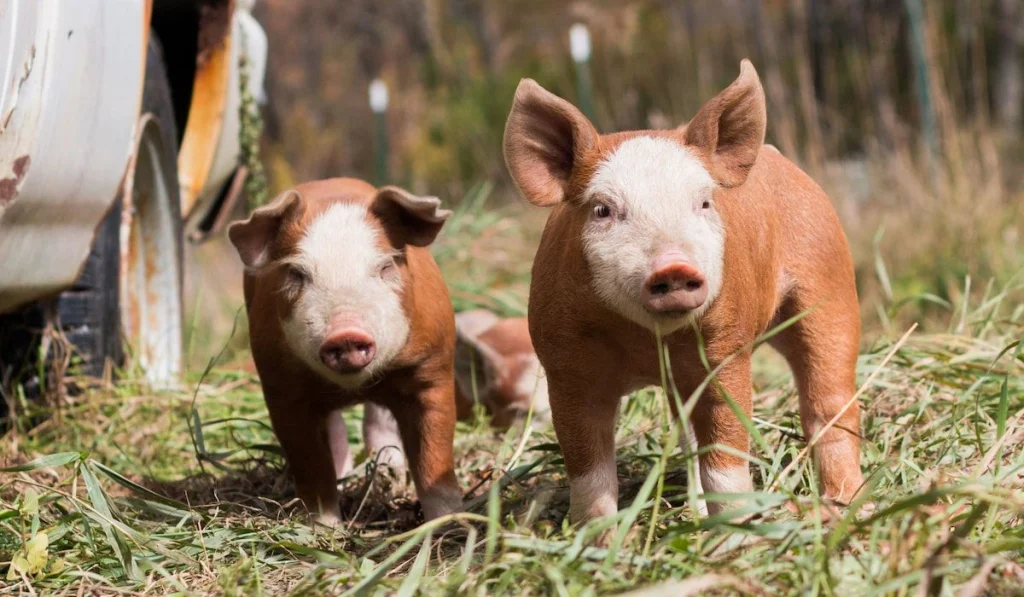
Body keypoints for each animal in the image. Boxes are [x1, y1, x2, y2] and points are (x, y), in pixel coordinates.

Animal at [227, 177, 463, 525]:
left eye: (385, 266)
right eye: (297, 274)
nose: (345, 333)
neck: (354, 387)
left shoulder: (433, 369)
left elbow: (434, 459)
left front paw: (449, 525)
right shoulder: (281, 388)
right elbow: (312, 468)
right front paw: (325, 528)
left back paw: (389, 472)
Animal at [502, 60, 864, 523]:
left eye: (705, 203)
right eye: (602, 210)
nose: (674, 265)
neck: (647, 345)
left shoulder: (727, 351)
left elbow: (726, 458)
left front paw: (735, 529)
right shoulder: (564, 365)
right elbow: (590, 474)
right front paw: (596, 534)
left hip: (830, 281)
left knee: (830, 398)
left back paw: (846, 504)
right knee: (690, 436)